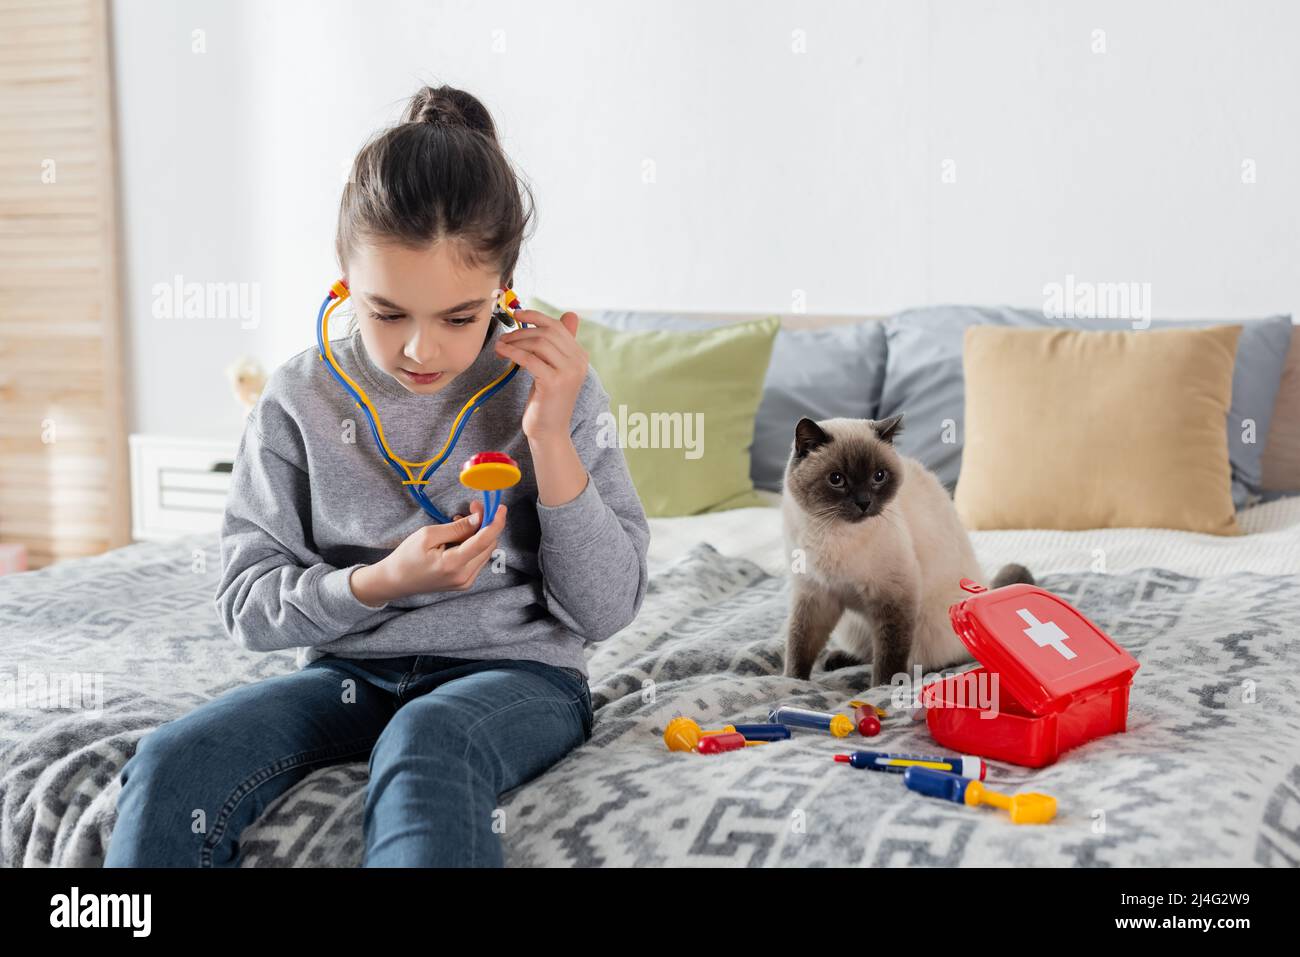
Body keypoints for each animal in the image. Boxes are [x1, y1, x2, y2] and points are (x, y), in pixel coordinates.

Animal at [780, 413, 1034, 686]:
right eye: (836, 479)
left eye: (879, 476)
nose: (864, 502)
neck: (832, 533)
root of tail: (986, 587)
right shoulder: (815, 595)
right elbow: (799, 645)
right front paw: (793, 681)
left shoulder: (893, 596)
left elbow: (889, 655)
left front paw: (881, 688)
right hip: (852, 625)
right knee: (866, 650)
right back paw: (836, 659)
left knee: (938, 658)